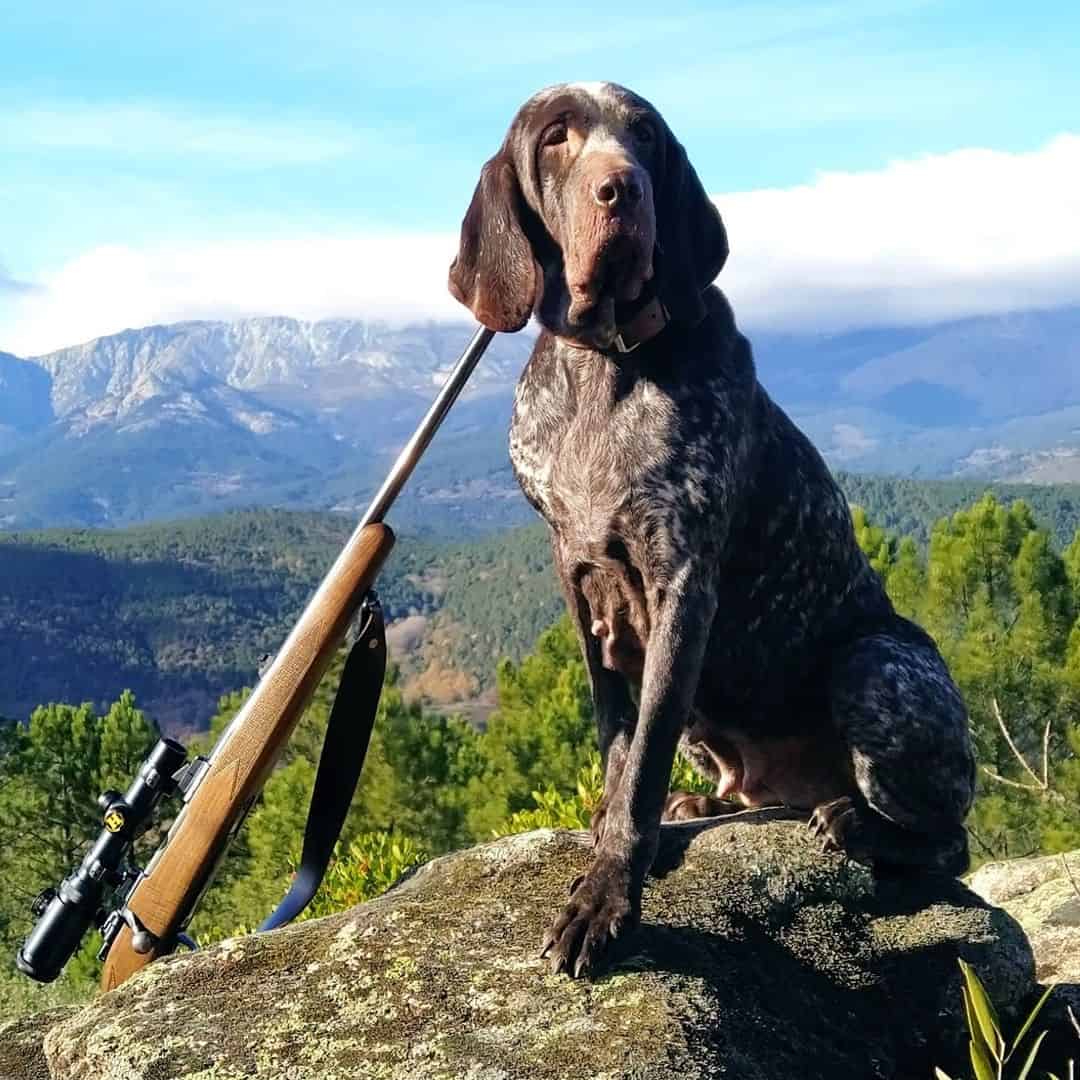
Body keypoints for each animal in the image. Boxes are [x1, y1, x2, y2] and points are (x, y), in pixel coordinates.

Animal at [442, 82, 976, 980]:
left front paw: (607, 897)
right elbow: (619, 743)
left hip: (876, 665)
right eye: (556, 137)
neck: (603, 367)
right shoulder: (581, 586)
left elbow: (641, 763)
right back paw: (704, 804)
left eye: (647, 138)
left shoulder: (682, 584)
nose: (622, 190)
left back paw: (855, 823)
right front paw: (619, 829)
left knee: (951, 841)